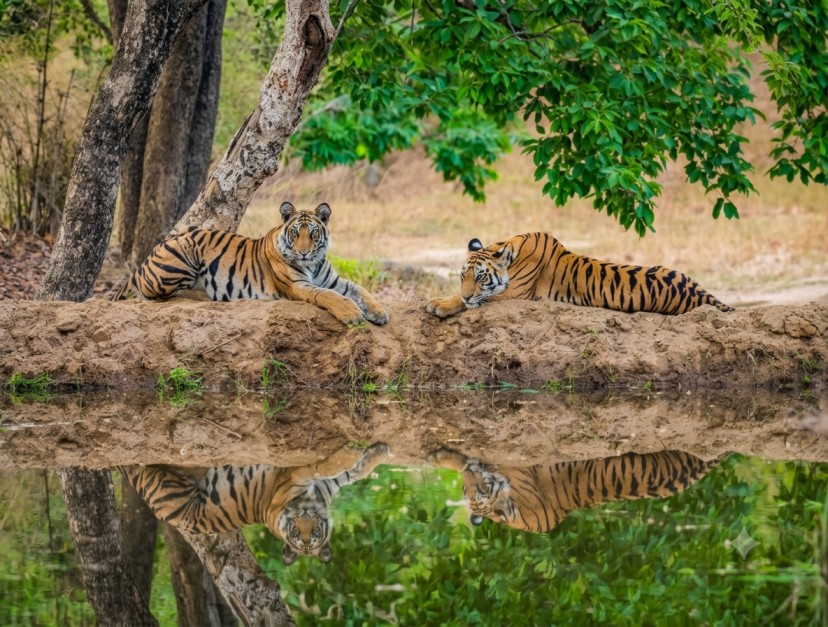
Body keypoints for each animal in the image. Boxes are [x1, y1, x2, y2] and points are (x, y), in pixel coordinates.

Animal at [113, 201, 389, 326]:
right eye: (295, 233)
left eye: (313, 234)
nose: (303, 253)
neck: (313, 263)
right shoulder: (298, 286)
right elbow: (329, 296)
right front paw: (352, 313)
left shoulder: (333, 280)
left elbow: (359, 289)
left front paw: (379, 311)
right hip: (184, 254)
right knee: (156, 295)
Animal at [122, 442, 390, 564]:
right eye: (296, 534)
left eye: (313, 534)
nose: (304, 518)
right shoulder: (292, 476)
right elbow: (328, 465)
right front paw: (355, 451)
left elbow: (353, 472)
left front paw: (377, 452)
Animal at [426, 232, 733, 318]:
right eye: (462, 276)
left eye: (480, 277)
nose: (468, 294)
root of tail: (700, 291)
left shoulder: (515, 294)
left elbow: (469, 300)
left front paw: (438, 304)